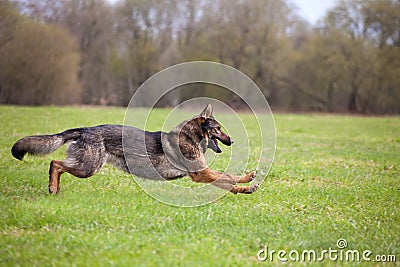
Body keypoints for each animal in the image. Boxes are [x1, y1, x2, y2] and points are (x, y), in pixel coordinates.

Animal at [11, 104, 260, 195]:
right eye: (218, 129)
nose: (232, 141)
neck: (191, 137)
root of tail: (84, 129)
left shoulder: (203, 173)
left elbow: (228, 178)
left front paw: (247, 180)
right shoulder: (201, 174)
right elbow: (226, 178)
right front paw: (245, 186)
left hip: (86, 166)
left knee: (58, 165)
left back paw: (54, 188)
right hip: (88, 167)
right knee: (55, 164)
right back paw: (53, 187)